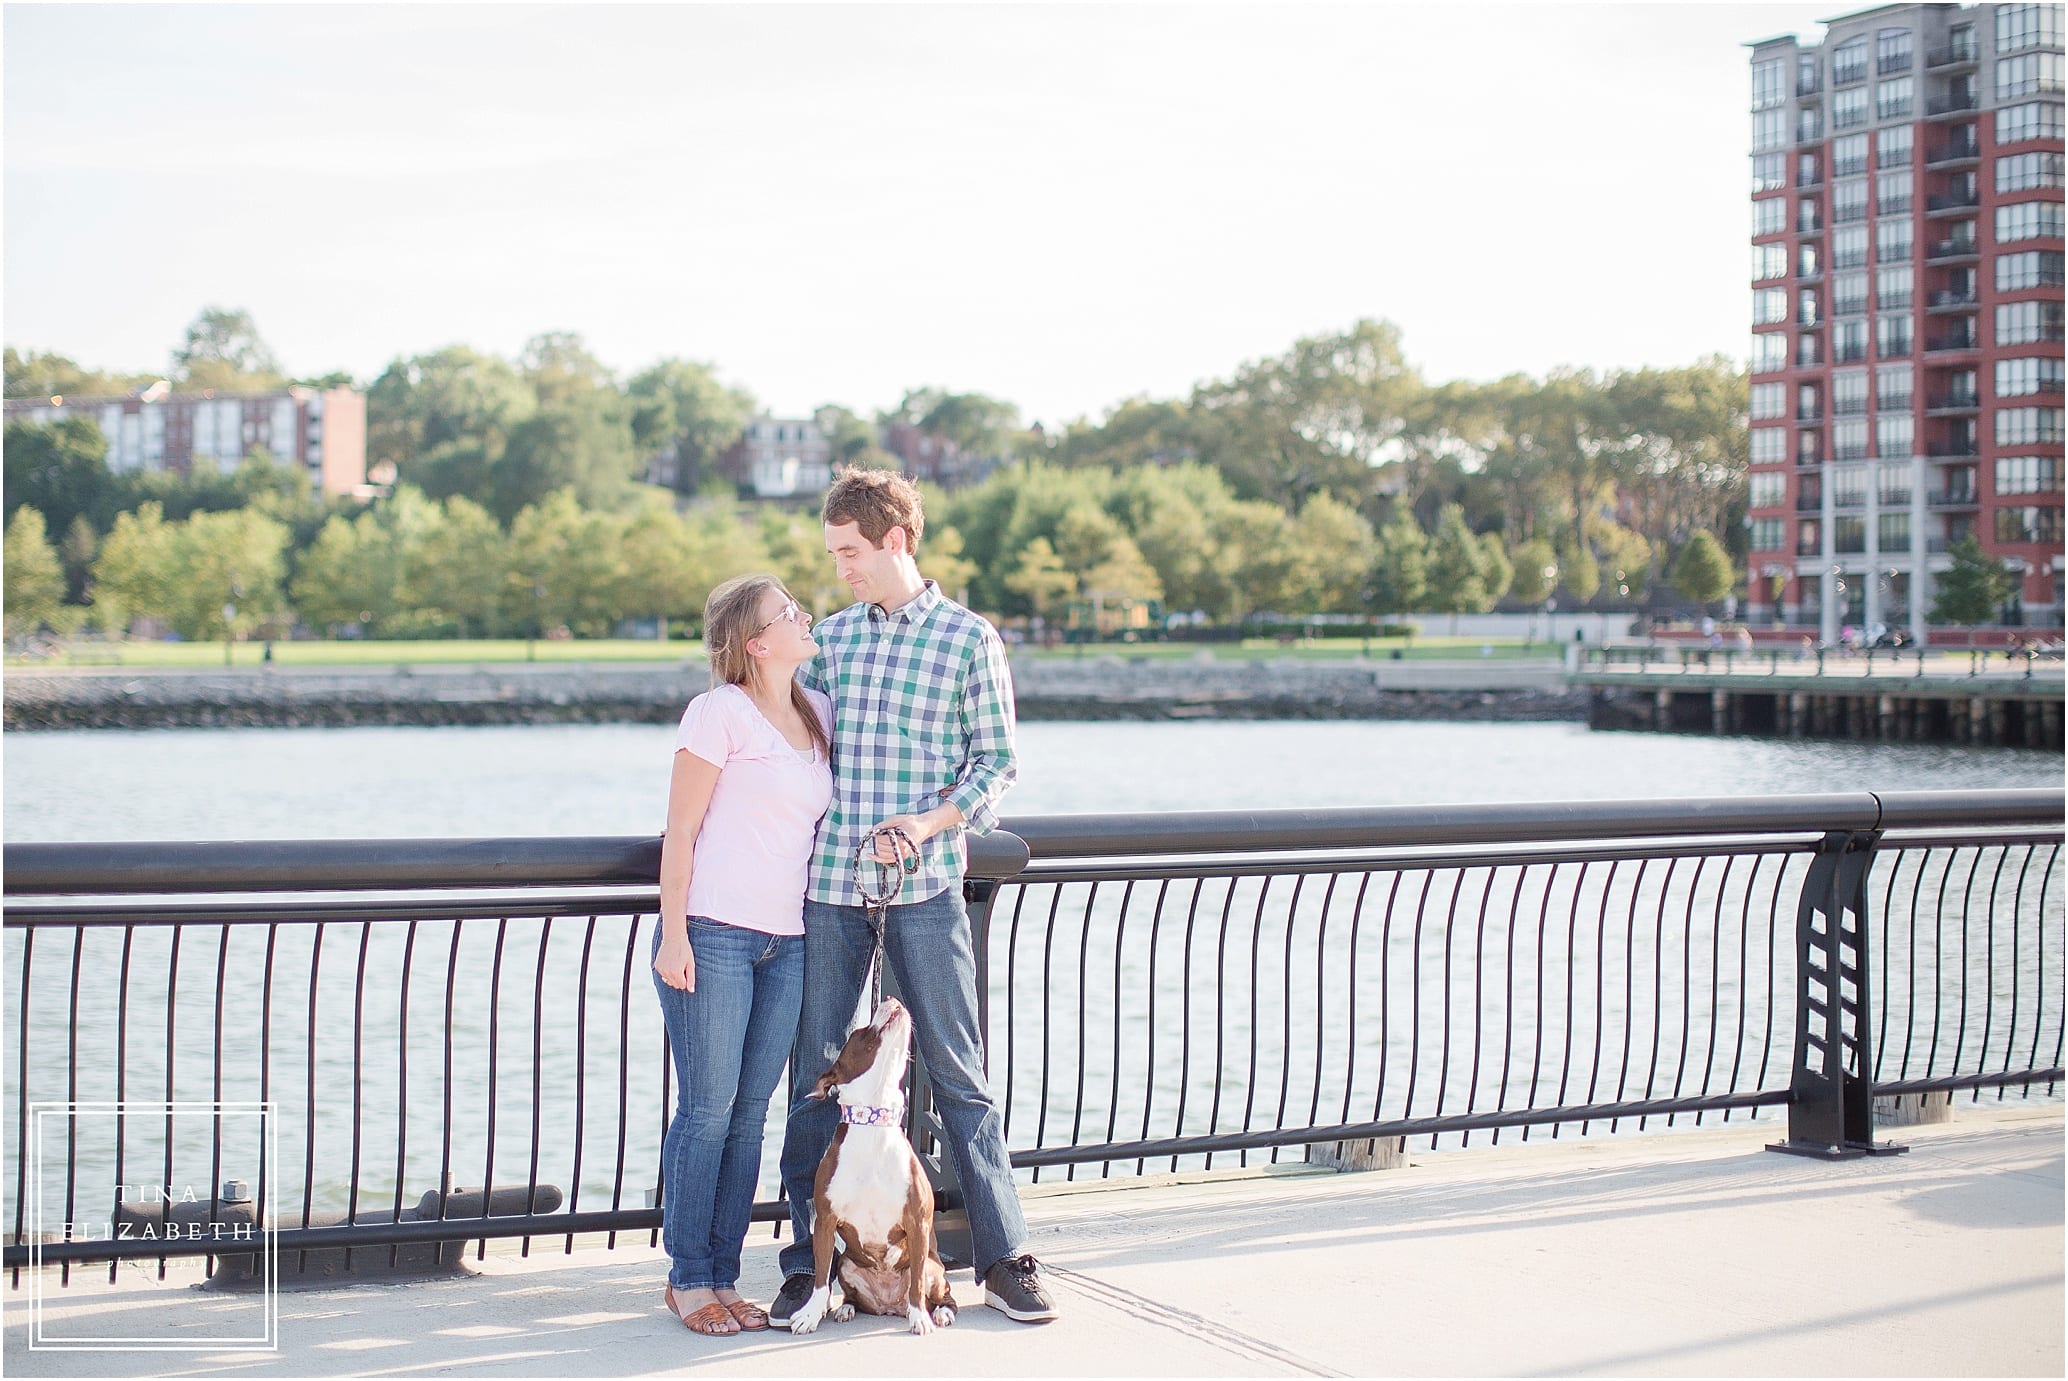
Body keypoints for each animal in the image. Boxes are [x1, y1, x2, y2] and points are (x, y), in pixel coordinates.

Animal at [785, 996, 955, 1331]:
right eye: (860, 1031)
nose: (889, 998)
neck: (873, 1122)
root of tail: (888, 1306)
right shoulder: (824, 1222)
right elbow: (820, 1278)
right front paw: (811, 1314)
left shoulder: (917, 1222)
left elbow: (917, 1282)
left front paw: (920, 1318)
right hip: (846, 1264)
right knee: (850, 1293)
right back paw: (846, 1309)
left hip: (934, 1268)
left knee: (940, 1292)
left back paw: (940, 1312)